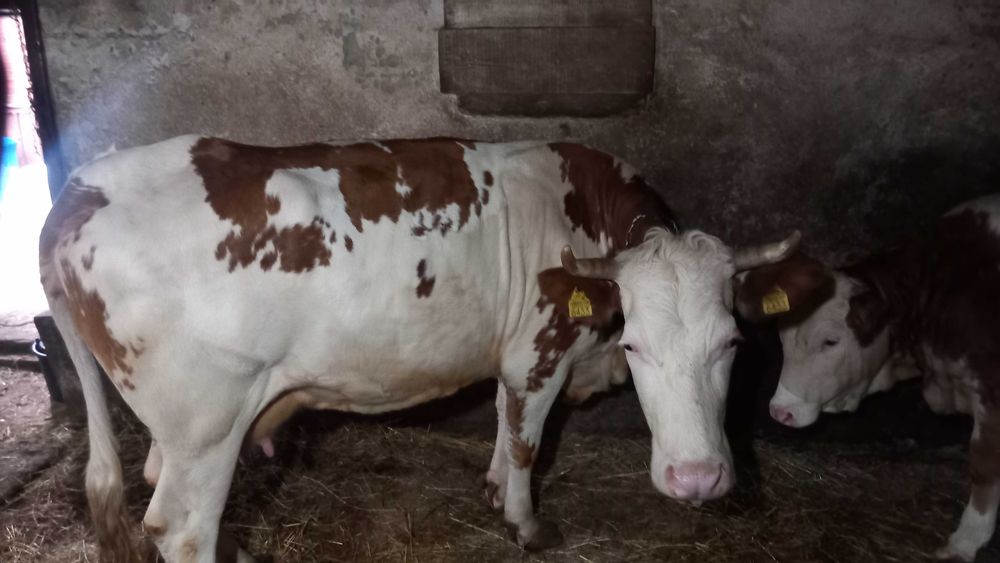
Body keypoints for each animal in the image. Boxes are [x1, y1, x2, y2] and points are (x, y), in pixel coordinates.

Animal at [40, 135, 800, 562]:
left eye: (734, 341)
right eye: (636, 345)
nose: (697, 479)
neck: (579, 209)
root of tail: (82, 186)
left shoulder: (509, 356)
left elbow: (502, 420)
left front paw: (493, 488)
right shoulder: (540, 349)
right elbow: (528, 438)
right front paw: (526, 522)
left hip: (182, 425)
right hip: (208, 421)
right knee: (181, 529)